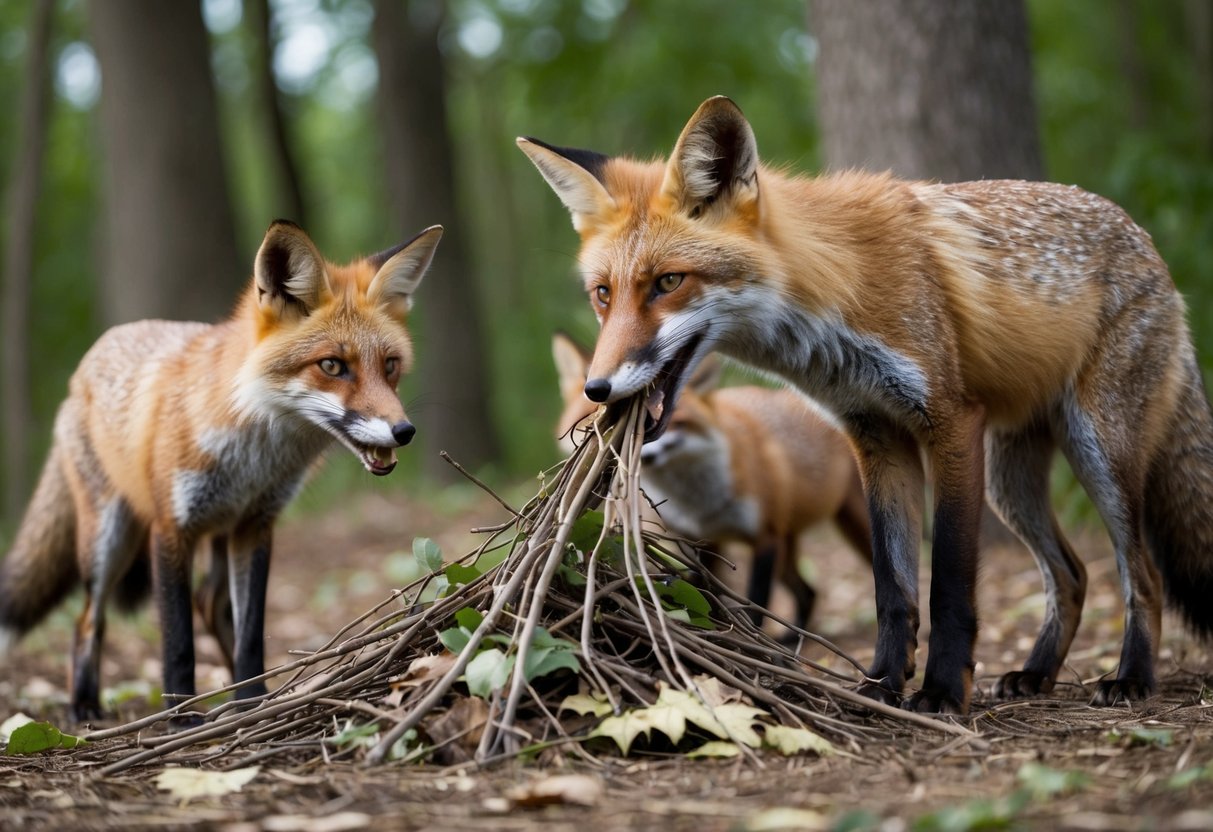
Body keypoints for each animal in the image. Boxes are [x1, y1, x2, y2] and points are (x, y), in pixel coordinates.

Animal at [0, 220, 442, 723]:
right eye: (332, 365)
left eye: (390, 366)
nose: (404, 431)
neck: (253, 455)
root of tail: (86, 363)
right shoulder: (172, 528)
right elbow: (178, 642)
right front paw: (181, 718)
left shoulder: (255, 526)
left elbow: (250, 634)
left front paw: (251, 701)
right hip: (107, 539)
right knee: (88, 619)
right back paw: (84, 704)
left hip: (215, 534)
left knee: (209, 603)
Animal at [553, 332, 871, 636]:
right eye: (593, 425)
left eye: (666, 421)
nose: (639, 455)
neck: (697, 501)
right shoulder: (703, 543)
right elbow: (704, 593)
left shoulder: (766, 539)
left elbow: (754, 602)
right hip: (788, 548)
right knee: (808, 592)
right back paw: (792, 639)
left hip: (851, 528)